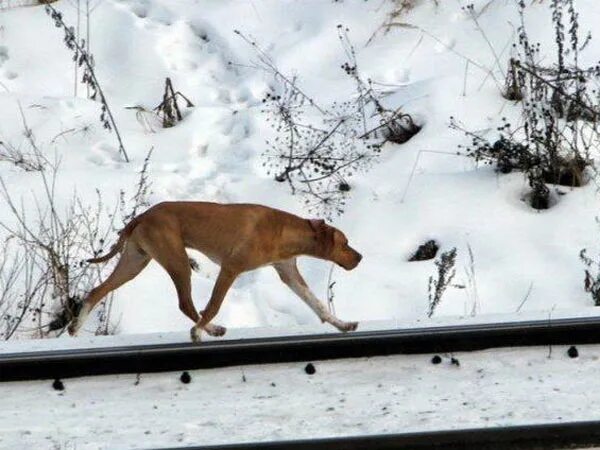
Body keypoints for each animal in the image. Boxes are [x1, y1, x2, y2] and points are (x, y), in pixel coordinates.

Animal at [68, 201, 364, 342]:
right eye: (345, 243)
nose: (360, 258)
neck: (284, 230)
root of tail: (142, 215)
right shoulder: (231, 269)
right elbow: (213, 305)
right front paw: (197, 332)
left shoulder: (289, 273)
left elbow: (318, 305)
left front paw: (342, 324)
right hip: (177, 261)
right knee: (186, 304)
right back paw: (206, 330)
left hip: (134, 261)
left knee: (97, 291)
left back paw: (76, 325)